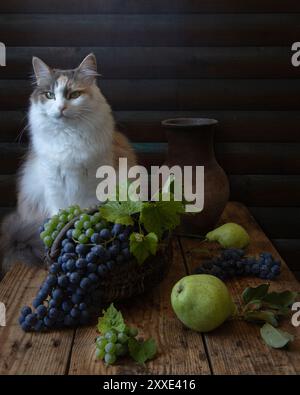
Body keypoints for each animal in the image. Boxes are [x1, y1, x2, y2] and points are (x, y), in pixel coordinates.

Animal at [0, 52, 136, 276]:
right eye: (49, 95)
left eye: (74, 95)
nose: (61, 108)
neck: (68, 135)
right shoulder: (53, 184)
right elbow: (58, 213)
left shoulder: (94, 186)